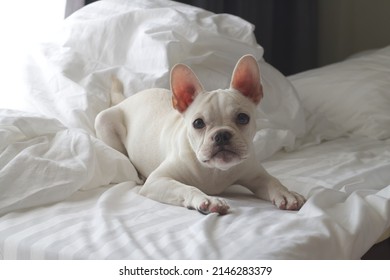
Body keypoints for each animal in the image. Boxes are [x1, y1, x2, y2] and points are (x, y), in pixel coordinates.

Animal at [94, 54, 304, 214]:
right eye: (198, 123)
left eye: (243, 118)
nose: (222, 135)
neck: (214, 171)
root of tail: (126, 100)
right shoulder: (158, 180)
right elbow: (185, 187)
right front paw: (207, 199)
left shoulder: (255, 176)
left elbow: (272, 181)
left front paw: (286, 193)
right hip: (104, 122)